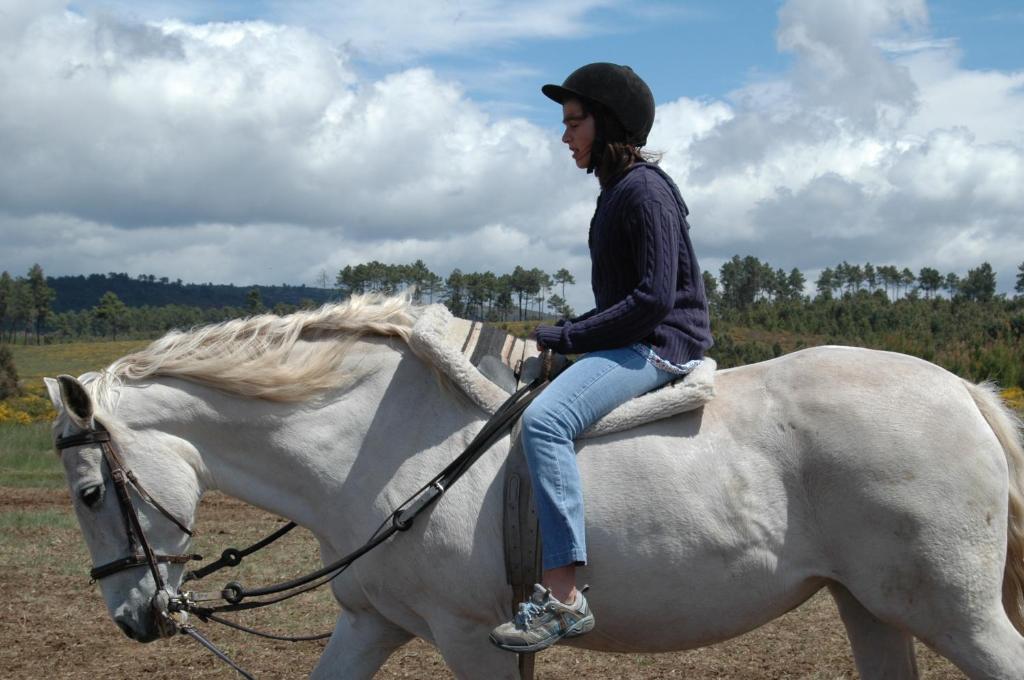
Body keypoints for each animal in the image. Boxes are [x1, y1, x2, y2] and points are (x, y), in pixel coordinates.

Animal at [48, 294, 1024, 675]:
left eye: (90, 495)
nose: (136, 619)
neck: (377, 447)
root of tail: (963, 393)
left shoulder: (472, 639)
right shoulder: (371, 625)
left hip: (954, 609)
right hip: (872, 607)